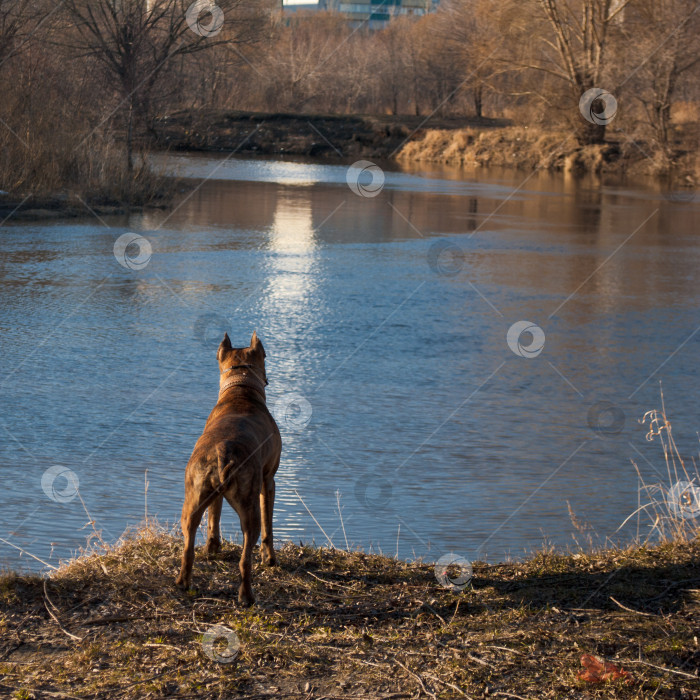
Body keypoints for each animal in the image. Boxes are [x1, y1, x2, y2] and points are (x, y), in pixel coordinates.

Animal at [175, 330, 282, 604]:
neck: (240, 391)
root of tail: (222, 453)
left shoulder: (214, 496)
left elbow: (214, 517)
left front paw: (213, 548)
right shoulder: (269, 481)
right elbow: (269, 527)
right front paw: (270, 558)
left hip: (192, 500)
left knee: (188, 548)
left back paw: (183, 582)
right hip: (249, 506)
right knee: (246, 558)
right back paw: (246, 596)